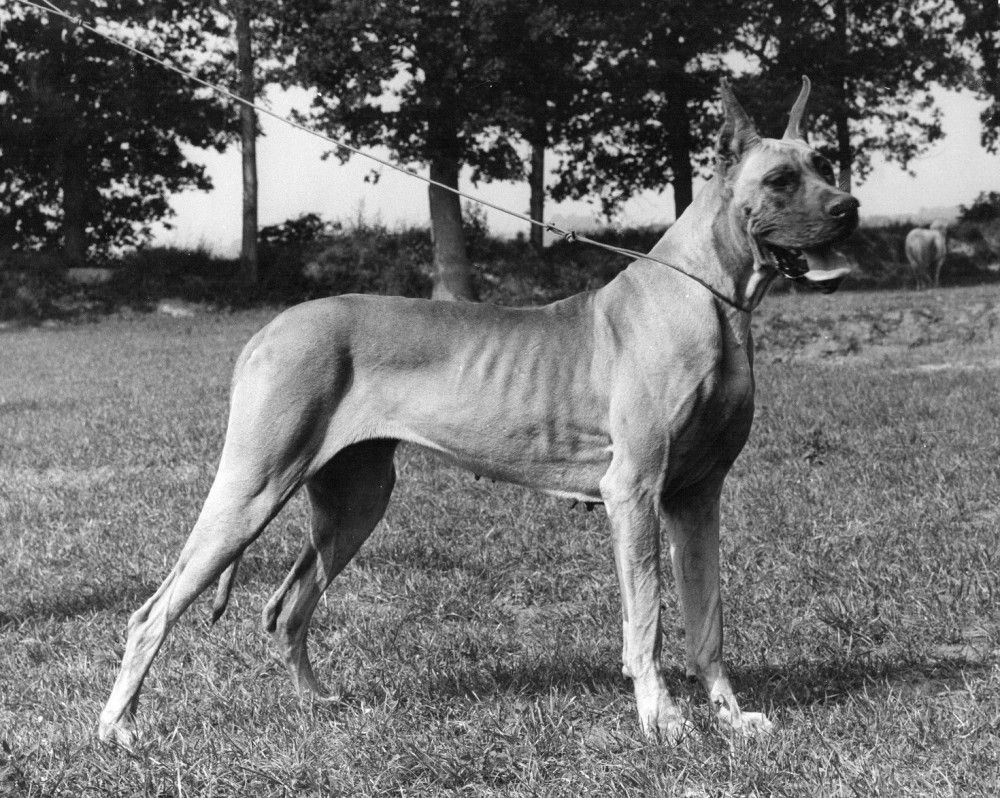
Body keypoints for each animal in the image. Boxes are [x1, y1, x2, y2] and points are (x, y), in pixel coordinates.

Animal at [98, 77, 859, 747]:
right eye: (780, 181)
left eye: (824, 165)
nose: (849, 207)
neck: (711, 296)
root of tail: (267, 330)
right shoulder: (634, 491)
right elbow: (647, 618)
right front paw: (663, 719)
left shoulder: (697, 497)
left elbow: (708, 618)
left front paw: (730, 716)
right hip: (252, 487)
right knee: (152, 611)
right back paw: (118, 728)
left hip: (356, 500)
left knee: (285, 607)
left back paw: (318, 704)